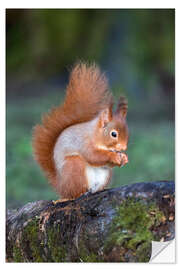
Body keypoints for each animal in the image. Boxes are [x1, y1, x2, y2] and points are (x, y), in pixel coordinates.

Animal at [32, 62, 128, 199]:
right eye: (113, 134)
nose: (123, 148)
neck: (96, 134)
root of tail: (61, 186)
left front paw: (124, 158)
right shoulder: (84, 142)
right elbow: (93, 156)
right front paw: (113, 156)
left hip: (104, 175)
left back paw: (99, 190)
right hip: (74, 167)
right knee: (74, 192)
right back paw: (81, 193)